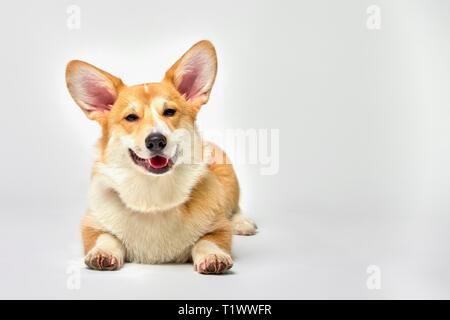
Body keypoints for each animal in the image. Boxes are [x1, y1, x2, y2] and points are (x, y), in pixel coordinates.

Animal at [65, 40, 258, 276]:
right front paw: (102, 253)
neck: (154, 193)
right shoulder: (92, 224)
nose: (156, 141)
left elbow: (208, 240)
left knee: (234, 207)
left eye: (170, 112)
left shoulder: (219, 227)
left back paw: (242, 223)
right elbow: (106, 237)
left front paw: (213, 256)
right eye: (131, 117)